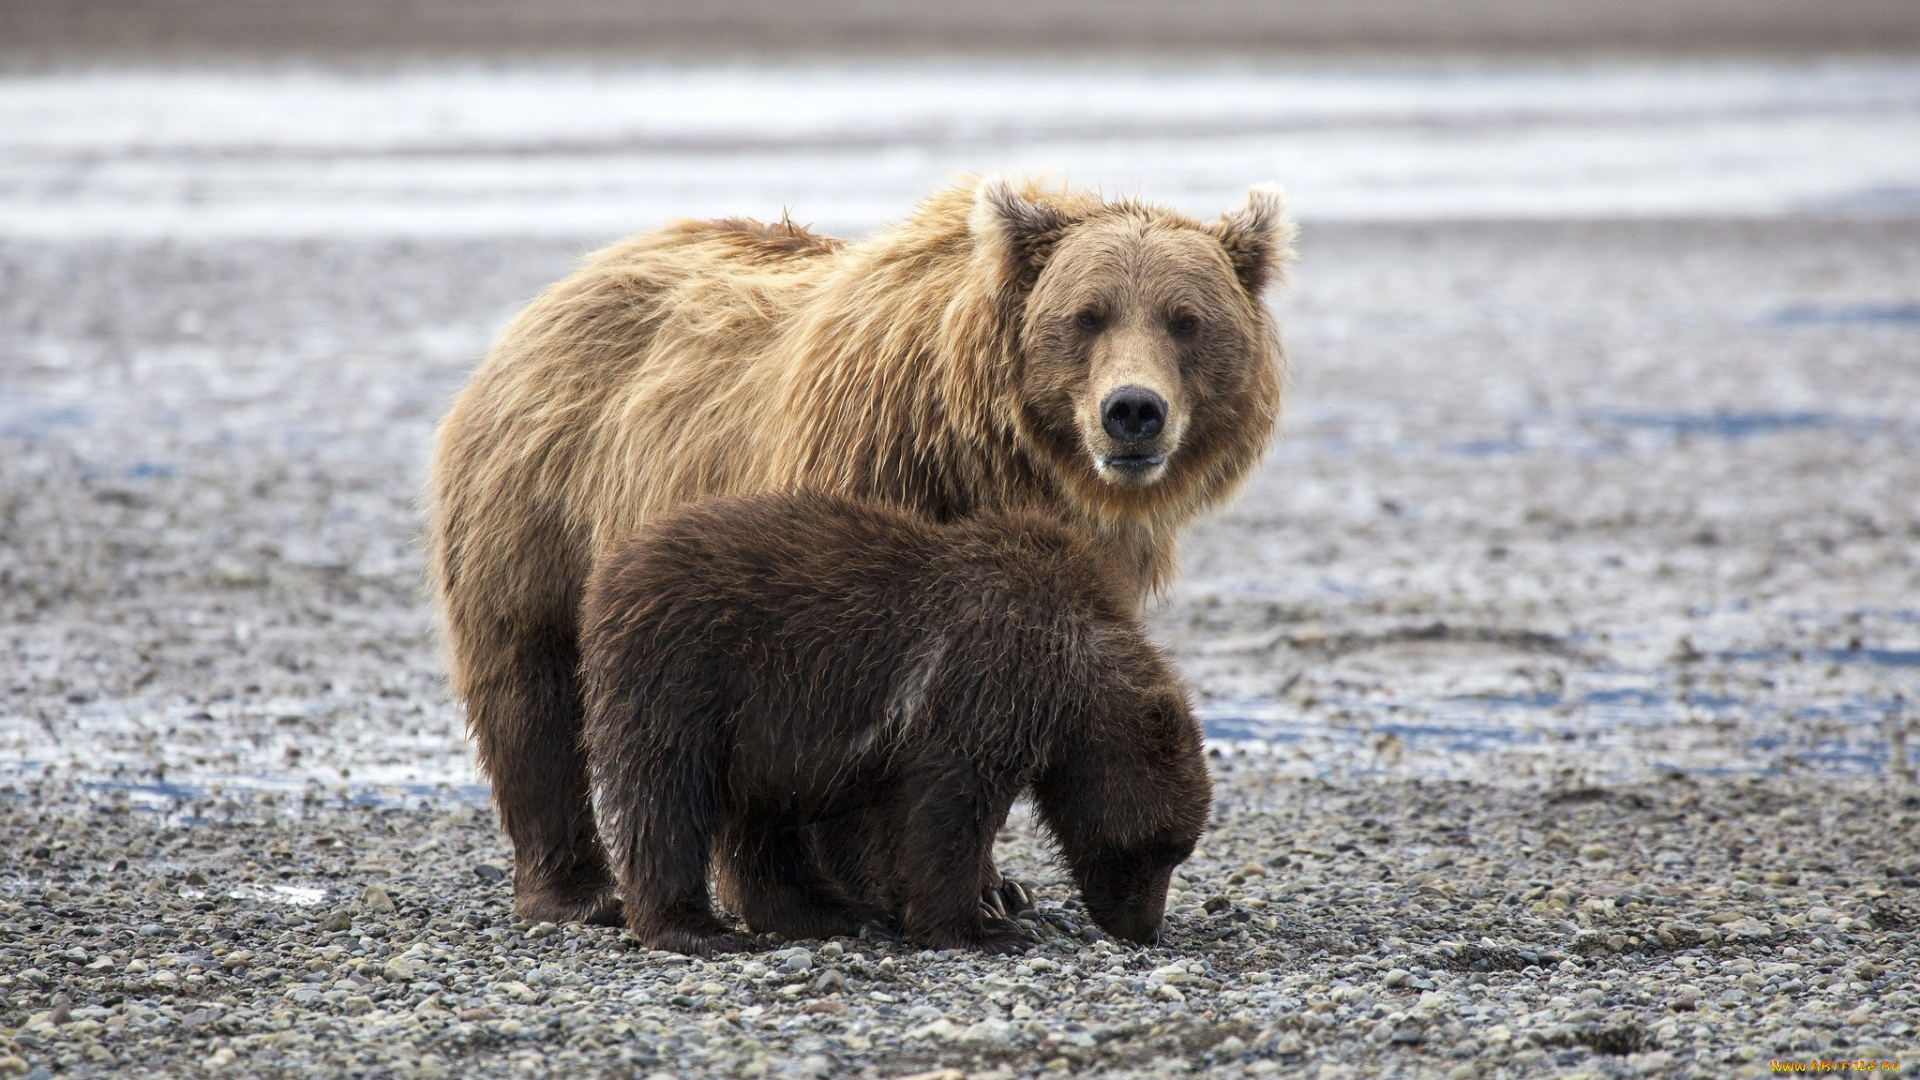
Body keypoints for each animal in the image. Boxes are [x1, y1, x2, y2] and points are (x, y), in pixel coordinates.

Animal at [576, 490, 1205, 949]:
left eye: (1178, 850)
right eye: (1158, 847)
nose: (1146, 929)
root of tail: (614, 568)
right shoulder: (984, 681)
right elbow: (946, 809)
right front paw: (986, 927)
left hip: (754, 732)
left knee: (761, 827)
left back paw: (832, 912)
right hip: (689, 672)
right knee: (666, 796)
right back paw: (695, 928)